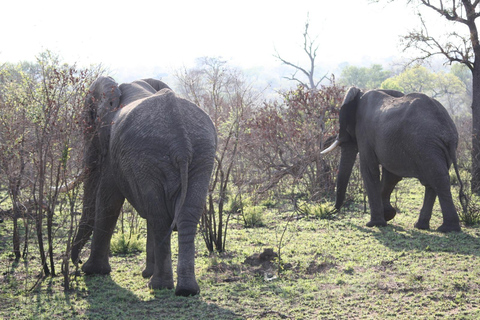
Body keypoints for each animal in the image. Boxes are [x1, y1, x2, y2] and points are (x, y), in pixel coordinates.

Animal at [70, 76, 217, 296]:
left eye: (89, 118)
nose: (77, 262)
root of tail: (181, 142)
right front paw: (146, 273)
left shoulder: (114, 152)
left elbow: (108, 200)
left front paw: (93, 271)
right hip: (201, 155)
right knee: (185, 214)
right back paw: (186, 290)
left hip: (150, 158)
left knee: (159, 216)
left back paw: (159, 286)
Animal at [320, 87, 464, 232]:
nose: (330, 211)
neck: (360, 93)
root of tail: (448, 130)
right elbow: (391, 176)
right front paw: (388, 215)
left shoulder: (364, 132)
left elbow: (369, 170)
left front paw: (374, 224)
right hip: (437, 148)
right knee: (432, 182)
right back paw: (421, 226)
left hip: (426, 145)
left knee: (438, 179)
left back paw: (447, 228)